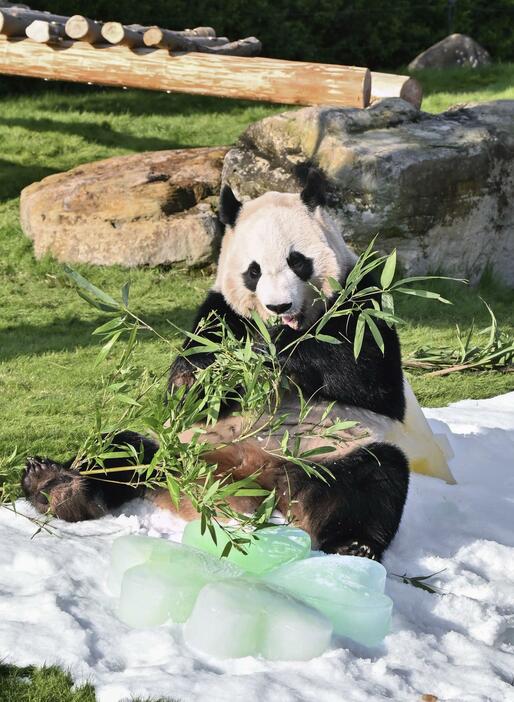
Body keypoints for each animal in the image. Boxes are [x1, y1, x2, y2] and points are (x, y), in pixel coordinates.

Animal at [22, 168, 410, 564]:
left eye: (297, 261)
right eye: (253, 271)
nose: (278, 306)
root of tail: (249, 478)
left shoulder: (362, 297)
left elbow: (367, 378)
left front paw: (272, 359)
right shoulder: (219, 313)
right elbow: (188, 385)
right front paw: (201, 381)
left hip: (329, 450)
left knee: (373, 478)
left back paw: (353, 546)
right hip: (178, 447)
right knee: (121, 450)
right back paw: (55, 487)